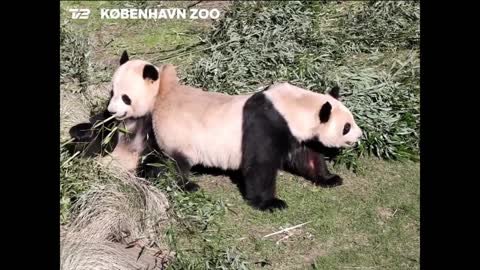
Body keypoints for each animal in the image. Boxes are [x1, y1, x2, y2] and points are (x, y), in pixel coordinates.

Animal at [105, 52, 360, 211]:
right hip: (176, 135)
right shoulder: (266, 125)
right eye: (346, 127)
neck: (294, 106)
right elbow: (259, 166)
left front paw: (331, 178)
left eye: (352, 121)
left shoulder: (294, 132)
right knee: (172, 164)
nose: (359, 137)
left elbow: (307, 157)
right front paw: (271, 203)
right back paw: (186, 185)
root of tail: (164, 94)